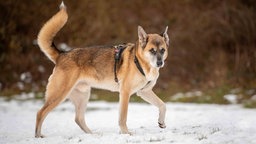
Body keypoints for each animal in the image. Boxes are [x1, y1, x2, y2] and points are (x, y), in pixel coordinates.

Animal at [35, 1, 169, 138]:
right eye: (152, 50)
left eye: (162, 50)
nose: (160, 63)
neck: (140, 62)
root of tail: (61, 55)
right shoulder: (125, 93)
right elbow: (123, 117)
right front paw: (125, 133)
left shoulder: (144, 91)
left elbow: (163, 105)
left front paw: (161, 122)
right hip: (59, 94)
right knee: (40, 113)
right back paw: (38, 136)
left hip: (83, 95)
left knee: (78, 118)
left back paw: (92, 135)